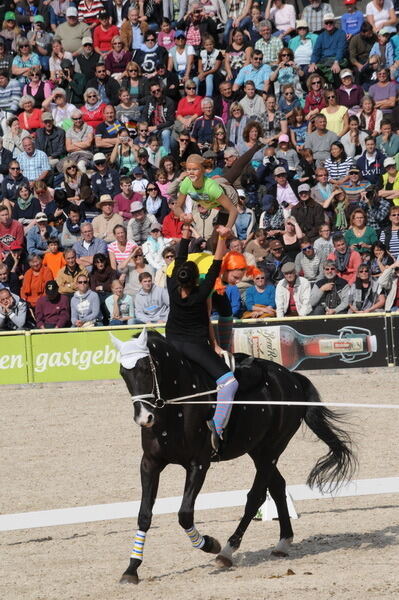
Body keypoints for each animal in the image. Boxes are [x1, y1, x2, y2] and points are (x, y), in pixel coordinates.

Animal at [111, 330, 356, 584]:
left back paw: (227, 551)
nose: (144, 418)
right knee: (278, 487)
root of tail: (292, 377)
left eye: (145, 369)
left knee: (256, 497)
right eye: (123, 372)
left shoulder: (199, 465)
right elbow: (144, 515)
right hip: (258, 451)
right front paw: (132, 568)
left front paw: (210, 544)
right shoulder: (150, 464)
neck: (177, 406)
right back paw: (283, 542)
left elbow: (185, 515)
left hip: (271, 450)